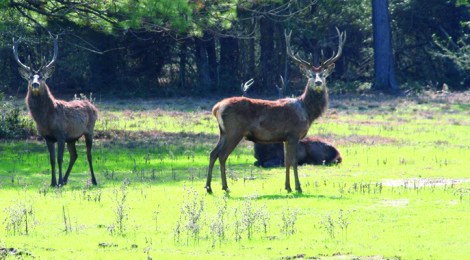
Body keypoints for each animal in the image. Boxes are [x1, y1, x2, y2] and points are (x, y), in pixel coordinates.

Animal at [13, 36, 98, 187]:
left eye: (42, 77)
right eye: (30, 77)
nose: (35, 84)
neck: (46, 120)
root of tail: (94, 107)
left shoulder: (61, 134)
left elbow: (59, 158)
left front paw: (58, 183)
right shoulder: (48, 137)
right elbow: (52, 160)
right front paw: (53, 182)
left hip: (90, 130)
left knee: (88, 155)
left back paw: (93, 181)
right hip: (72, 138)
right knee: (74, 155)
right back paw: (65, 179)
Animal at [206, 28, 346, 193]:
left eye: (323, 75)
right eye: (310, 75)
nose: (318, 82)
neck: (306, 112)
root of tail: (217, 108)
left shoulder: (285, 138)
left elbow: (287, 162)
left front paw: (287, 187)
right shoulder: (293, 134)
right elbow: (294, 161)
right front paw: (298, 187)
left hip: (223, 132)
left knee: (213, 153)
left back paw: (209, 187)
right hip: (235, 130)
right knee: (222, 155)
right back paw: (225, 187)